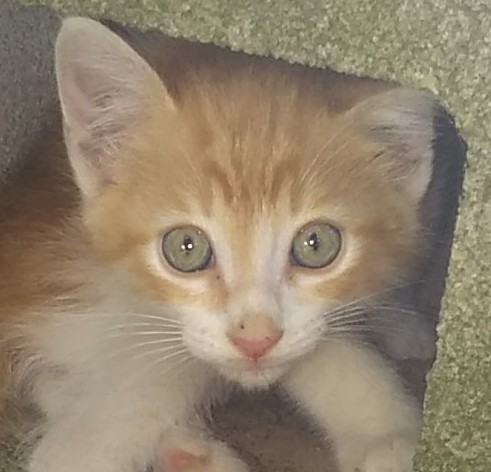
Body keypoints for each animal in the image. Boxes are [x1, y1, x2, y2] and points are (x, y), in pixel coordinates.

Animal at [0, 16, 446, 472]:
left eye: (316, 244)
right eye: (186, 247)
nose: (256, 340)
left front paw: (388, 435)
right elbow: (160, 371)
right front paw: (80, 445)